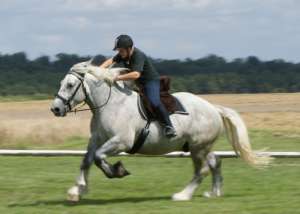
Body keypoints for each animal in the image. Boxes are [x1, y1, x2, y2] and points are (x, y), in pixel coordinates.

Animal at [50, 60, 270, 202]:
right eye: (62, 83)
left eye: (70, 85)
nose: (55, 109)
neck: (110, 104)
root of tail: (214, 108)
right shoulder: (96, 138)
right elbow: (87, 160)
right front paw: (77, 191)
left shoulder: (121, 141)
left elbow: (97, 157)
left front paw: (117, 170)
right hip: (200, 146)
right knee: (215, 162)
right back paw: (214, 193)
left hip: (198, 148)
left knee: (202, 170)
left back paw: (183, 195)